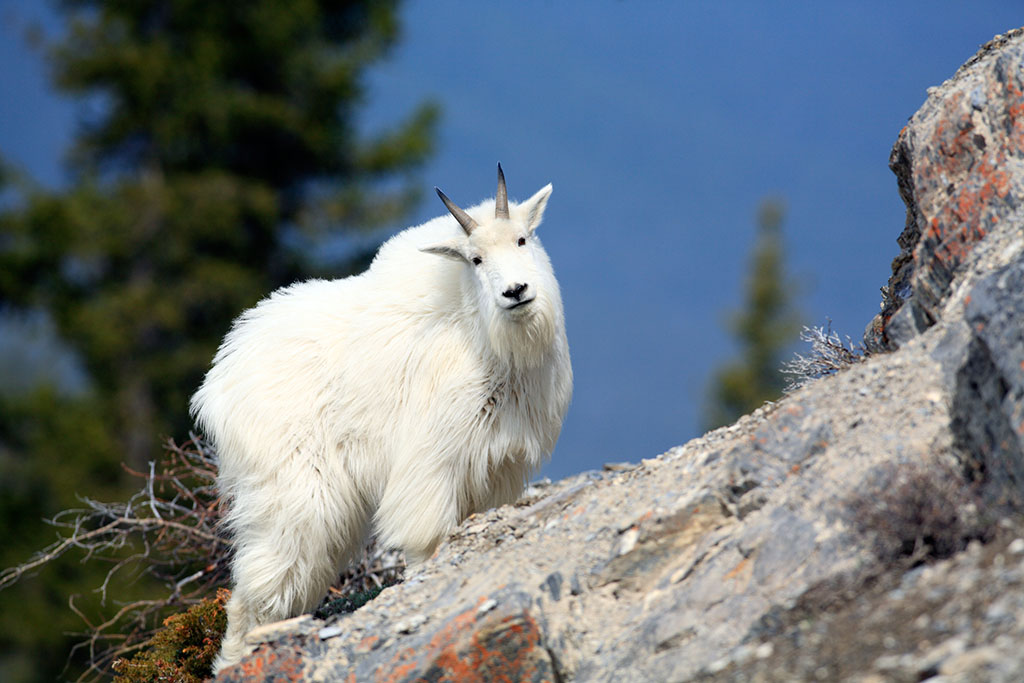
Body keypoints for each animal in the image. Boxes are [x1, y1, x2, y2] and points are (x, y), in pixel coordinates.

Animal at [189, 166, 573, 671]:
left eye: (523, 239)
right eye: (474, 259)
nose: (516, 292)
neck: (488, 343)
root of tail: (217, 383)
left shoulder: (497, 470)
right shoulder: (433, 461)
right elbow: (427, 540)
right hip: (293, 493)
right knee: (260, 584)